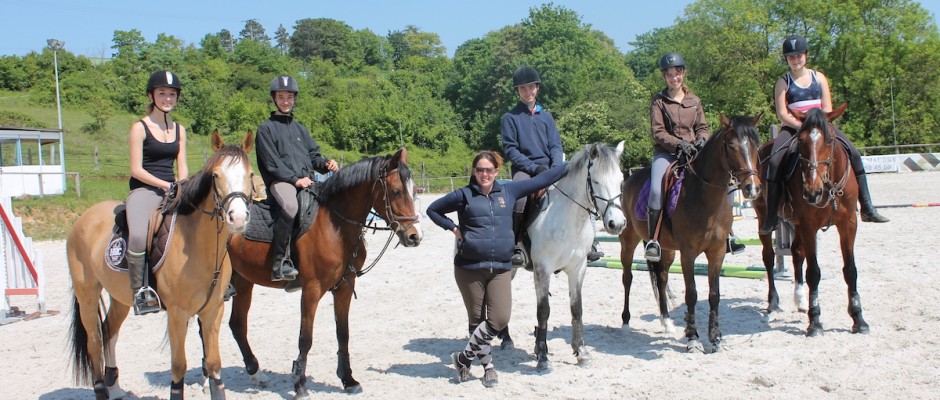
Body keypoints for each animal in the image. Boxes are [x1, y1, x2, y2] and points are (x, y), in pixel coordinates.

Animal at [66, 130, 255, 398]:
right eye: (216, 175)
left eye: (250, 174)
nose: (237, 218)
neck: (200, 247)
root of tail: (85, 217)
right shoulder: (177, 313)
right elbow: (178, 367)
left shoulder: (212, 310)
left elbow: (214, 364)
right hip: (87, 295)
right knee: (94, 341)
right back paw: (102, 388)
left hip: (120, 298)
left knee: (109, 330)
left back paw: (115, 386)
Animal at [226, 148, 420, 400]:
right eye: (396, 191)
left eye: (414, 191)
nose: (415, 236)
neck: (335, 225)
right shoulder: (311, 290)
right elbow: (305, 339)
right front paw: (300, 385)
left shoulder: (344, 286)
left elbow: (343, 333)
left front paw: (348, 380)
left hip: (243, 281)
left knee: (237, 324)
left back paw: (255, 373)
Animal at [500, 141, 624, 372]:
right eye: (596, 180)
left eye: (621, 180)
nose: (617, 224)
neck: (569, 220)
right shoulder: (542, 270)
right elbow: (543, 311)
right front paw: (542, 356)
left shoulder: (578, 269)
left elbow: (577, 308)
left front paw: (581, 352)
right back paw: (503, 338)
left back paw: (505, 338)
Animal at [616, 114, 764, 352]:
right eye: (731, 146)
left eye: (755, 145)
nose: (753, 188)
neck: (704, 196)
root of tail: (630, 179)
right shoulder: (688, 253)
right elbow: (692, 294)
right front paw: (693, 338)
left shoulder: (717, 251)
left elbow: (714, 295)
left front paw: (715, 338)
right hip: (628, 241)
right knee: (627, 277)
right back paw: (626, 323)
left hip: (665, 249)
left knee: (662, 278)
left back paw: (667, 322)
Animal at [752, 104, 872, 336]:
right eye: (801, 141)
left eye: (830, 140)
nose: (812, 192)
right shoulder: (809, 225)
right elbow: (814, 272)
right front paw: (815, 322)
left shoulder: (848, 224)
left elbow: (850, 270)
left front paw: (858, 319)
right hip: (764, 217)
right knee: (769, 257)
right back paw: (773, 302)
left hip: (796, 223)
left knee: (797, 253)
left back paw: (800, 300)